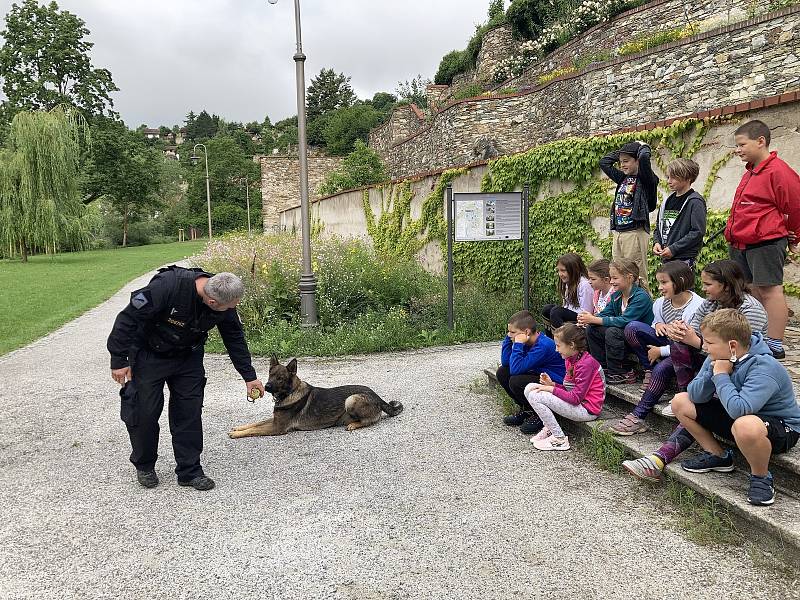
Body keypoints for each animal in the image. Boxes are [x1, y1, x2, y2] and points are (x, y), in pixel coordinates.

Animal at [227, 354, 404, 438]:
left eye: (281, 378)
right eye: (270, 375)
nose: (266, 386)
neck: (291, 392)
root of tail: (377, 396)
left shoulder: (277, 427)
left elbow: (254, 430)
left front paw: (236, 434)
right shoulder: (274, 420)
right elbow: (255, 424)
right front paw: (239, 428)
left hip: (351, 399)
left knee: (371, 420)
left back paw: (354, 425)